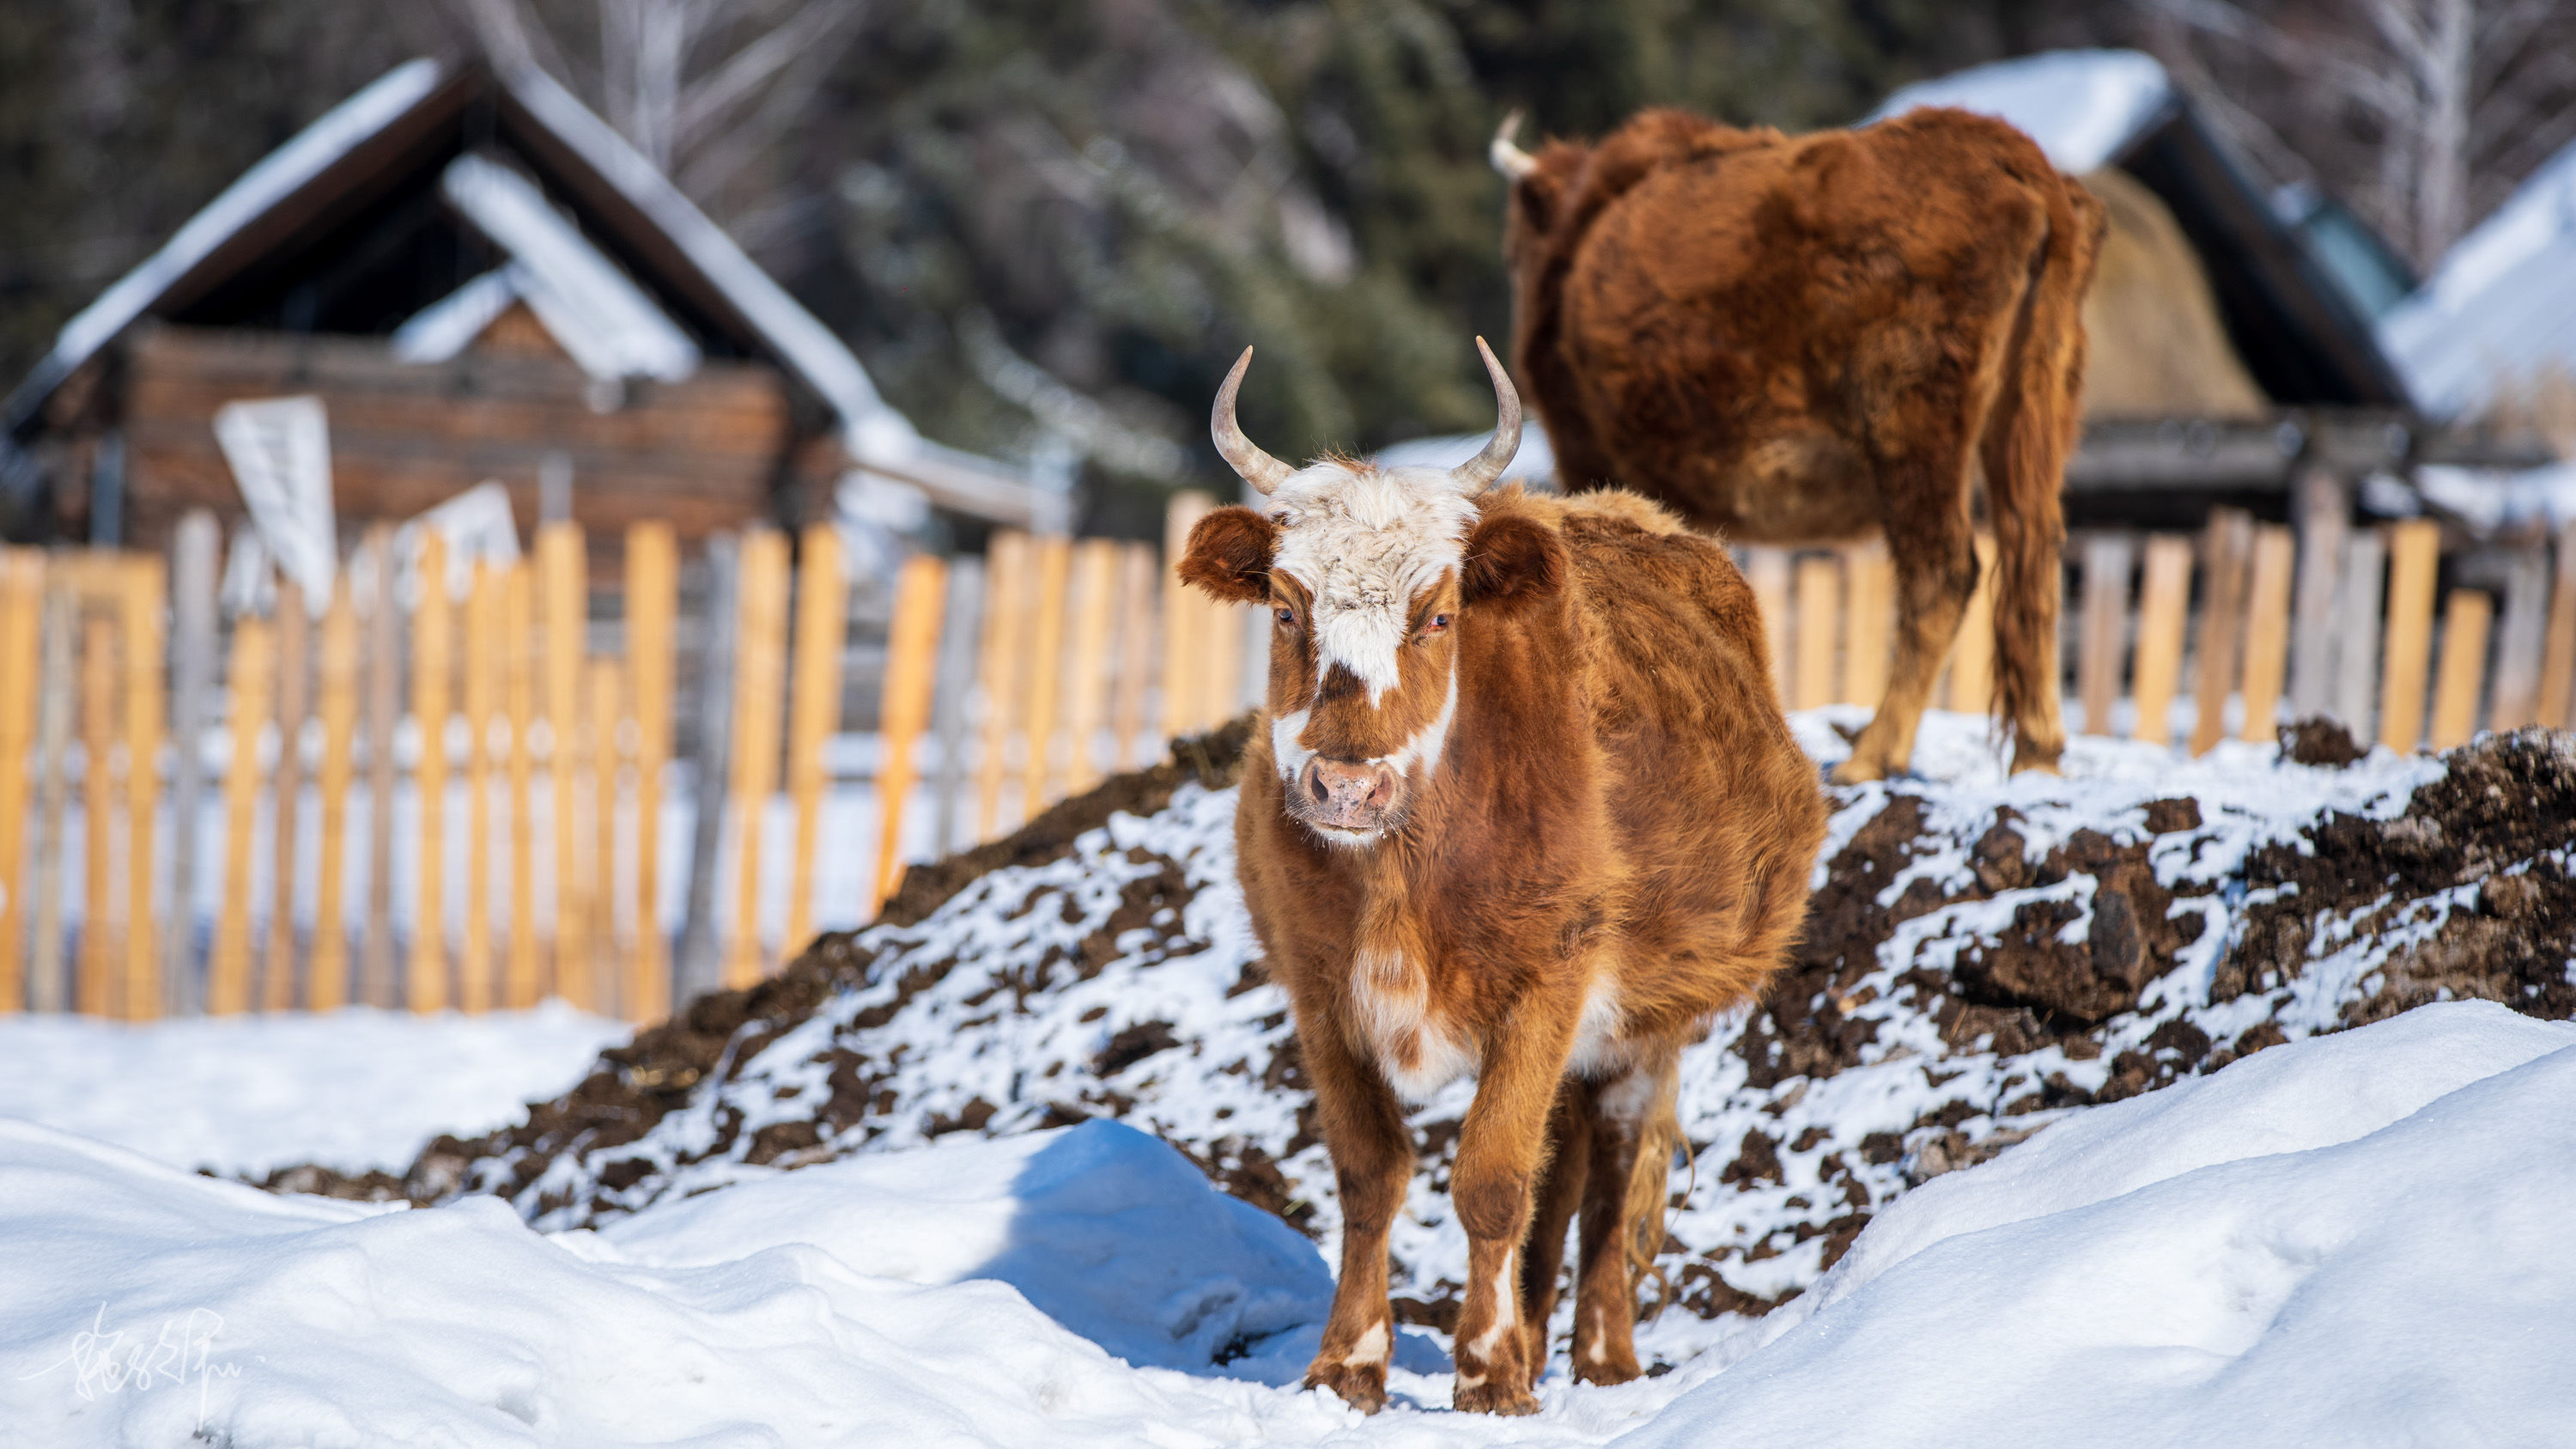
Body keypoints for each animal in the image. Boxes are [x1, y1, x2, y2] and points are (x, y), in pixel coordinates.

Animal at [1180, 340, 1824, 1412]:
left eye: (1439, 615)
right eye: (1284, 607)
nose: (1344, 785)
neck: (1403, 873)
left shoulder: (1548, 985)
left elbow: (1489, 1177)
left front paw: (1487, 1373)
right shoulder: (1321, 997)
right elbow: (1372, 1171)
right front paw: (1347, 1364)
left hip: (1645, 1025)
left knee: (1607, 1169)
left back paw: (1601, 1355)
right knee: (1558, 1178)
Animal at [1504, 104, 2102, 778]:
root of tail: (2013, 155)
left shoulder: (1588, 456)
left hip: (1912, 415)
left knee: (1943, 572)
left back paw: (1872, 754)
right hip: (2035, 407)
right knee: (2033, 554)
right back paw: (2037, 753)